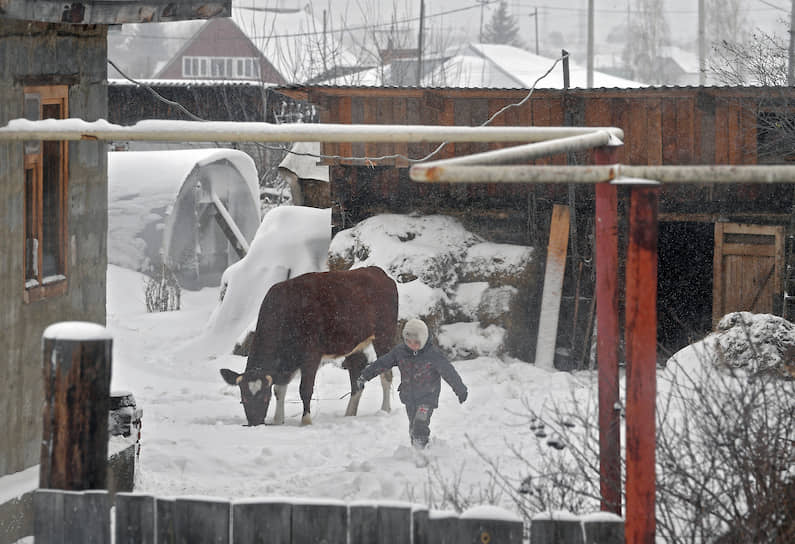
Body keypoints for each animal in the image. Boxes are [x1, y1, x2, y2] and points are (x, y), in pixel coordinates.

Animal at [219, 266, 398, 428]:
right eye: (243, 398)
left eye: (264, 397)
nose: (255, 424)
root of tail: (377, 271)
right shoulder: (286, 361)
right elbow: (279, 389)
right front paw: (278, 420)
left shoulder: (311, 355)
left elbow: (304, 389)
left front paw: (306, 421)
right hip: (355, 345)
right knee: (357, 380)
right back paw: (349, 414)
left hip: (385, 335)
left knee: (386, 374)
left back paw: (385, 409)